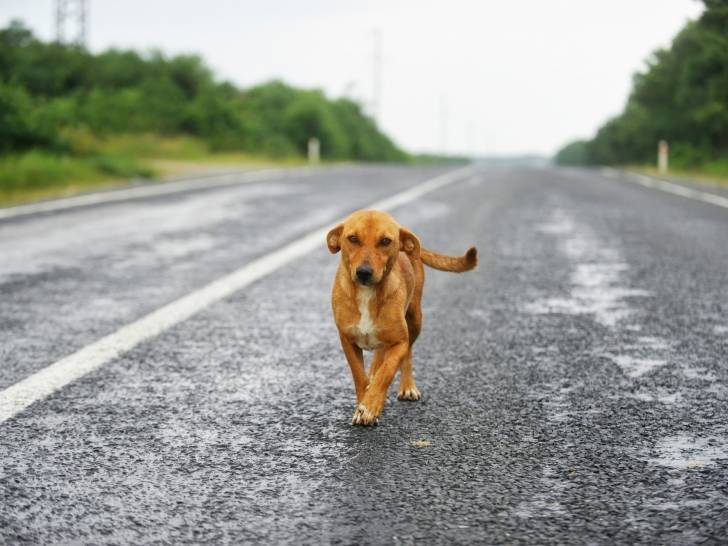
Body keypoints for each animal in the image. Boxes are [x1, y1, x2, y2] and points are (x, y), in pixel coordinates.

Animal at [328, 208, 478, 424]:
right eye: (353, 238)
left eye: (385, 241)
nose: (364, 272)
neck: (367, 294)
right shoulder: (347, 340)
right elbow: (359, 376)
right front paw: (364, 402)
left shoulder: (399, 342)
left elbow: (387, 371)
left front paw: (371, 406)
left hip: (415, 320)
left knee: (406, 356)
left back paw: (406, 387)